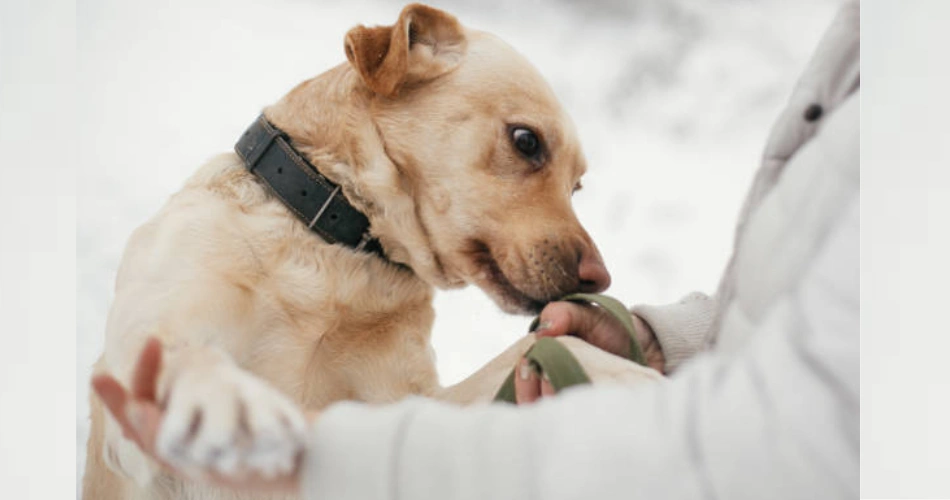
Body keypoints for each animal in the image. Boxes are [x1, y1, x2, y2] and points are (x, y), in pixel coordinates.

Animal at [82, 4, 660, 500]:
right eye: (526, 140)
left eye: (577, 186)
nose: (599, 280)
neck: (337, 254)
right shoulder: (145, 357)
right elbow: (183, 353)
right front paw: (228, 400)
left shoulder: (409, 409)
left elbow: (532, 350)